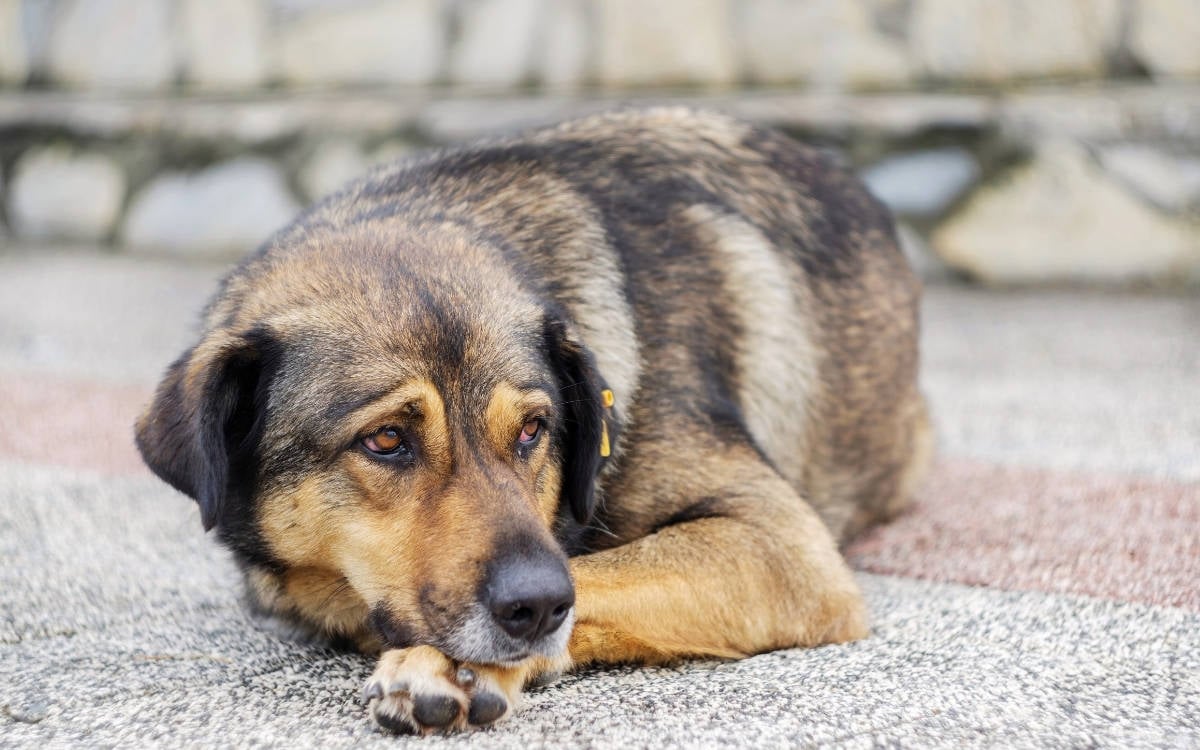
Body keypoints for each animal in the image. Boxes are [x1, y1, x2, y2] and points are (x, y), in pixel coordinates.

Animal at [136, 108, 931, 734]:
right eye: (386, 440)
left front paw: (454, 667)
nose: (539, 604)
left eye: (531, 431)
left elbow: (599, 571)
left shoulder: (782, 542)